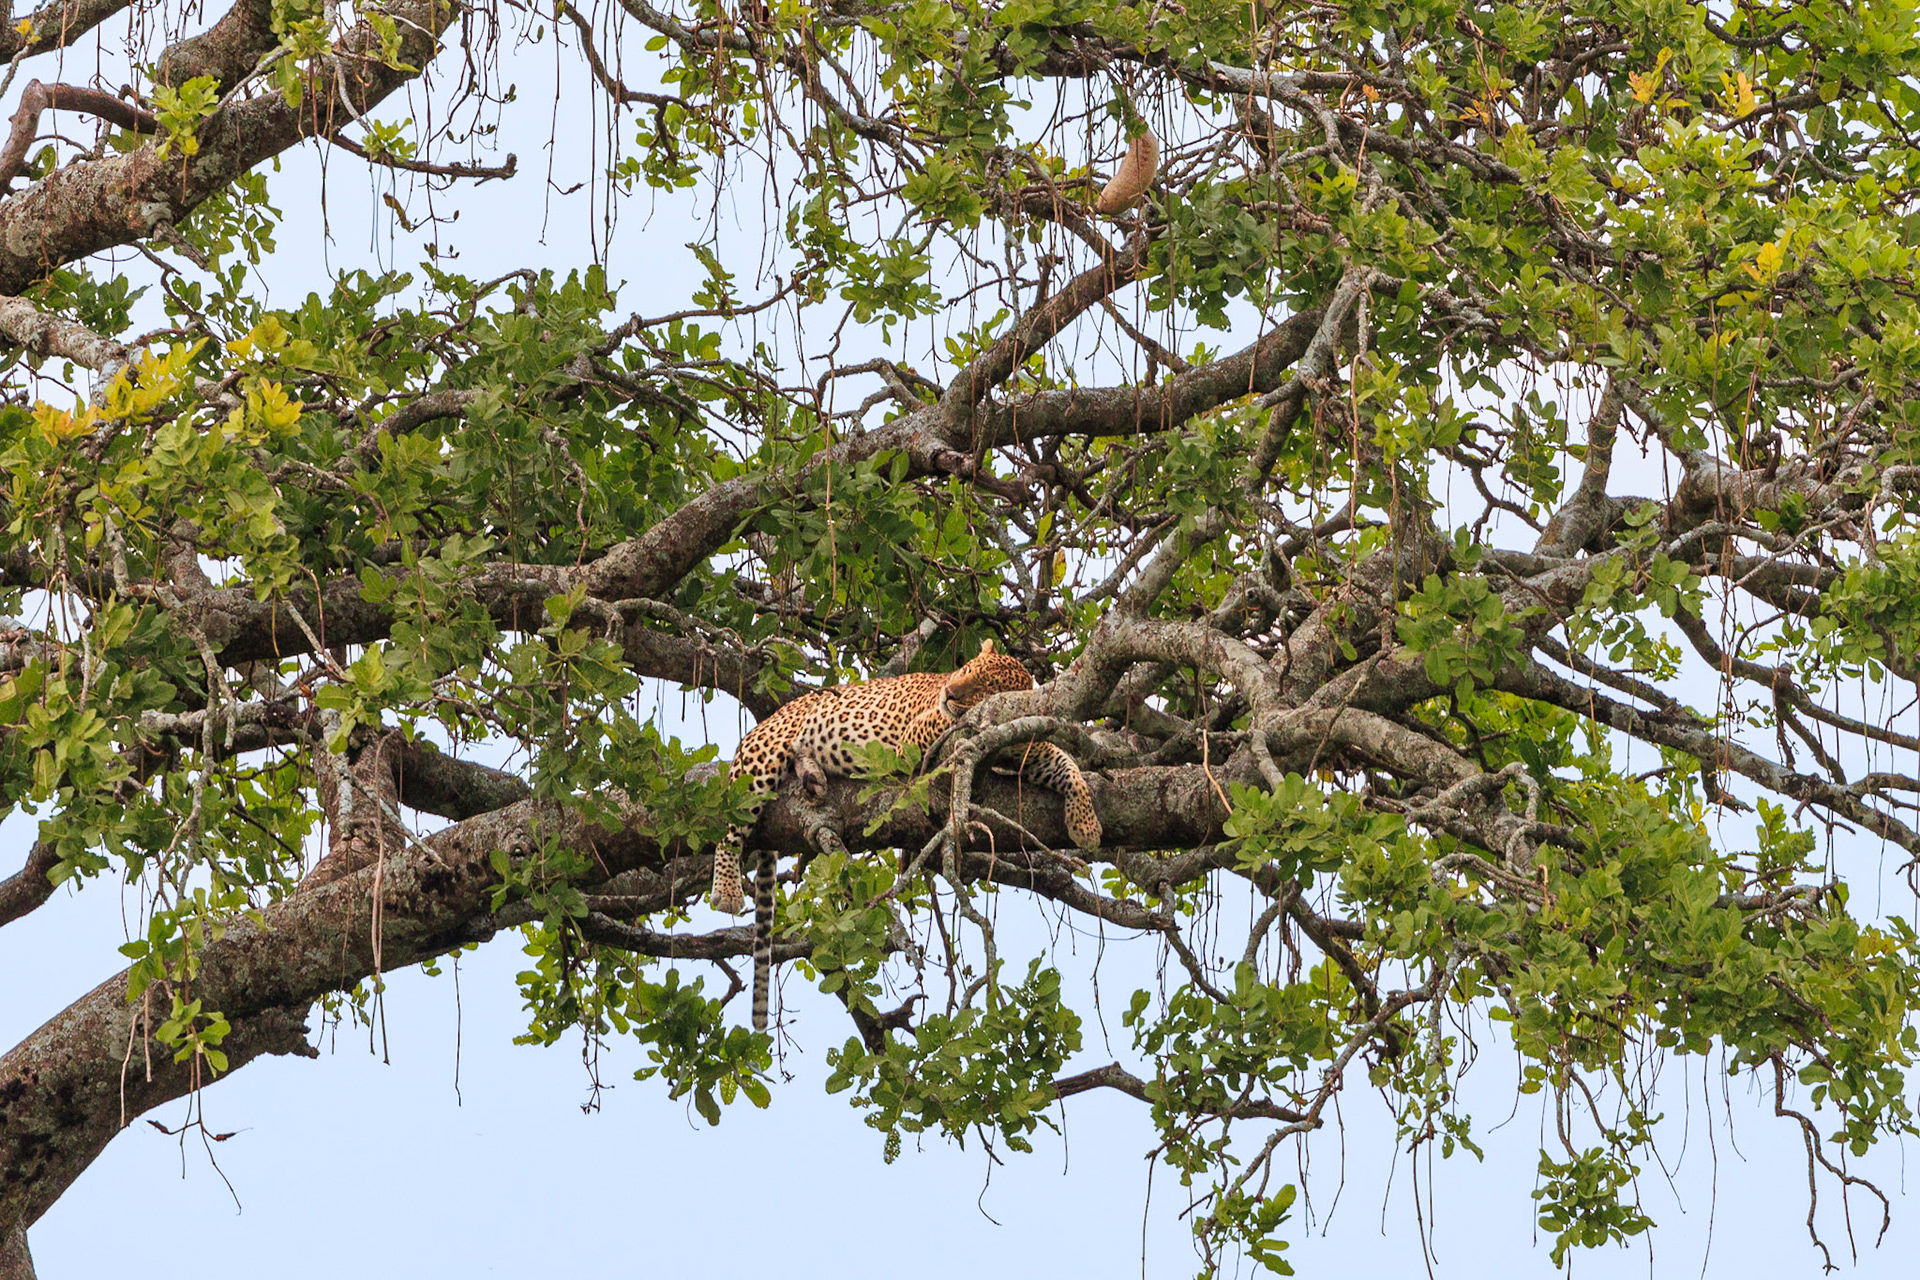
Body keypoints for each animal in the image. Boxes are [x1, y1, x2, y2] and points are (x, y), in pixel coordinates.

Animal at [710, 640, 1103, 1031]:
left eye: (985, 687)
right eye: (966, 670)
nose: (949, 692)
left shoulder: (1027, 745)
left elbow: (1066, 763)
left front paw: (1086, 825)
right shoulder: (914, 739)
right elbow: (946, 722)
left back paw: (812, 778)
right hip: (761, 759)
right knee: (728, 826)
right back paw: (726, 890)